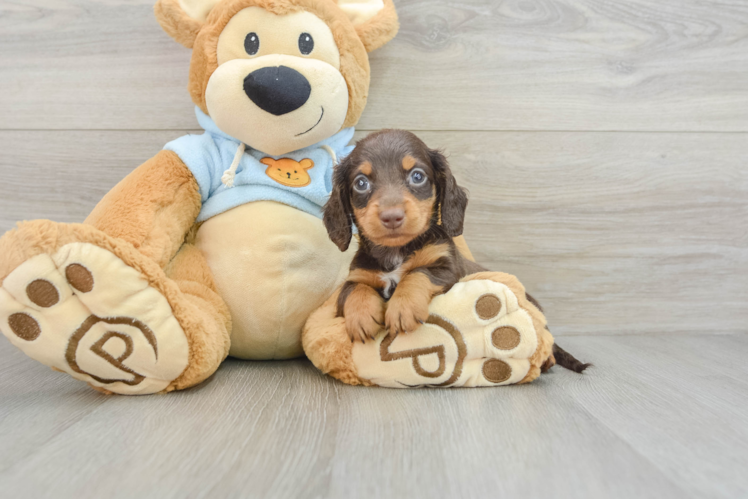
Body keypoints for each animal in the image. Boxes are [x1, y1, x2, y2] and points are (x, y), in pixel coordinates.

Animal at [322, 131, 592, 374]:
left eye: (417, 176)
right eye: (361, 183)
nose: (391, 217)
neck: (397, 253)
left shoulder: (448, 269)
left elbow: (417, 273)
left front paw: (402, 307)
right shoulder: (357, 275)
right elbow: (354, 289)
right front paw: (361, 316)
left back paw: (547, 360)